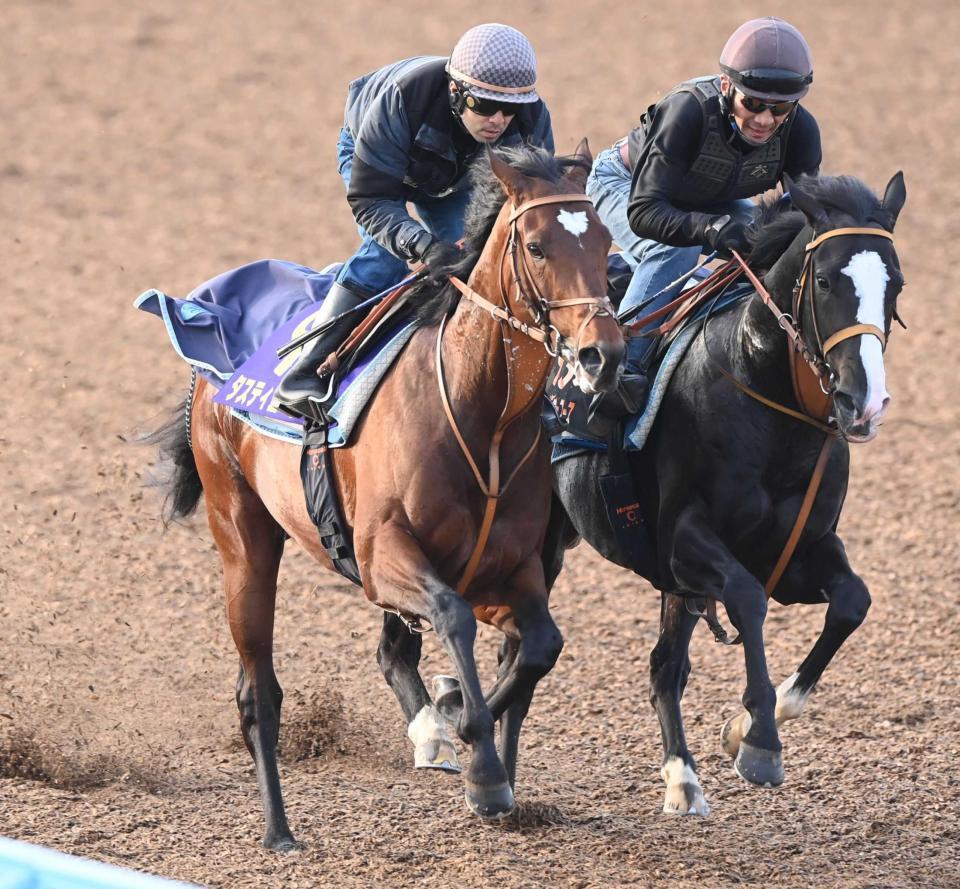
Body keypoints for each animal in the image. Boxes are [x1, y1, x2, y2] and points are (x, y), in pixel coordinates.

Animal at [142, 144, 624, 848]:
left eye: (608, 241)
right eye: (536, 246)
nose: (602, 354)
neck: (484, 418)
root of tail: (210, 376)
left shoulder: (515, 567)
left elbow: (540, 645)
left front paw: (467, 743)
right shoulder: (381, 557)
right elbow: (452, 615)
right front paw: (478, 760)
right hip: (242, 534)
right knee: (259, 691)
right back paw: (278, 830)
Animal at [548, 170, 908, 816]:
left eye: (895, 284)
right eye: (824, 280)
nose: (862, 402)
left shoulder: (799, 548)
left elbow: (852, 601)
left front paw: (742, 728)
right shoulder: (684, 541)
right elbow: (747, 598)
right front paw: (761, 740)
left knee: (664, 666)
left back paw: (682, 779)